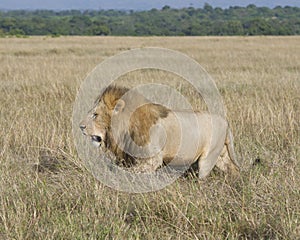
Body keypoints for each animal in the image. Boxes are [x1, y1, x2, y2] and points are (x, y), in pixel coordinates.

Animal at [79, 86, 239, 178]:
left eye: (95, 115)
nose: (80, 126)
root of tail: (226, 122)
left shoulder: (151, 160)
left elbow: (129, 172)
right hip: (221, 156)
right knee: (232, 168)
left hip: (208, 157)